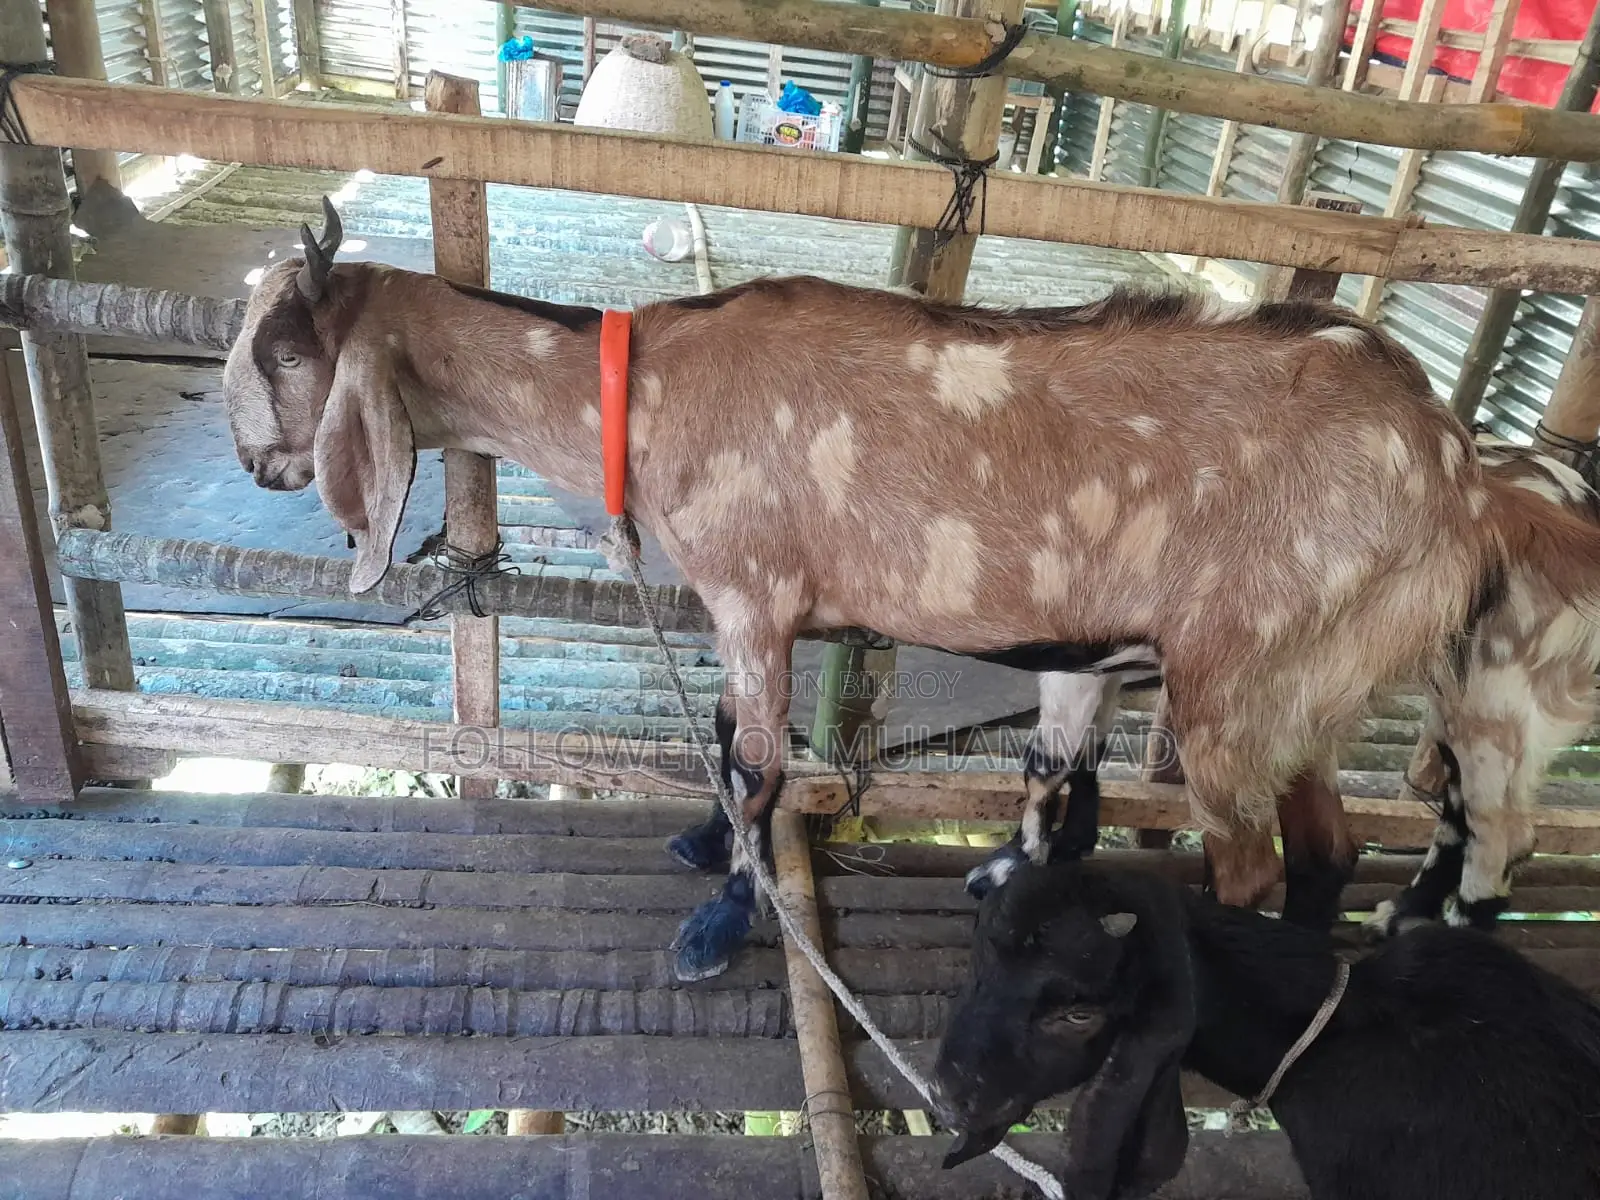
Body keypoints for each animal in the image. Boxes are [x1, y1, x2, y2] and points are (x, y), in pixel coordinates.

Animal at [222, 196, 1597, 983]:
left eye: (283, 351)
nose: (257, 463)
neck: (640, 389)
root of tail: (1461, 475)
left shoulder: (755, 593)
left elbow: (758, 760)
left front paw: (722, 922)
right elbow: (726, 735)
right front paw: (699, 844)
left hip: (1239, 677)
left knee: (1268, 862)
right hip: (1308, 673)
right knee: (1323, 849)